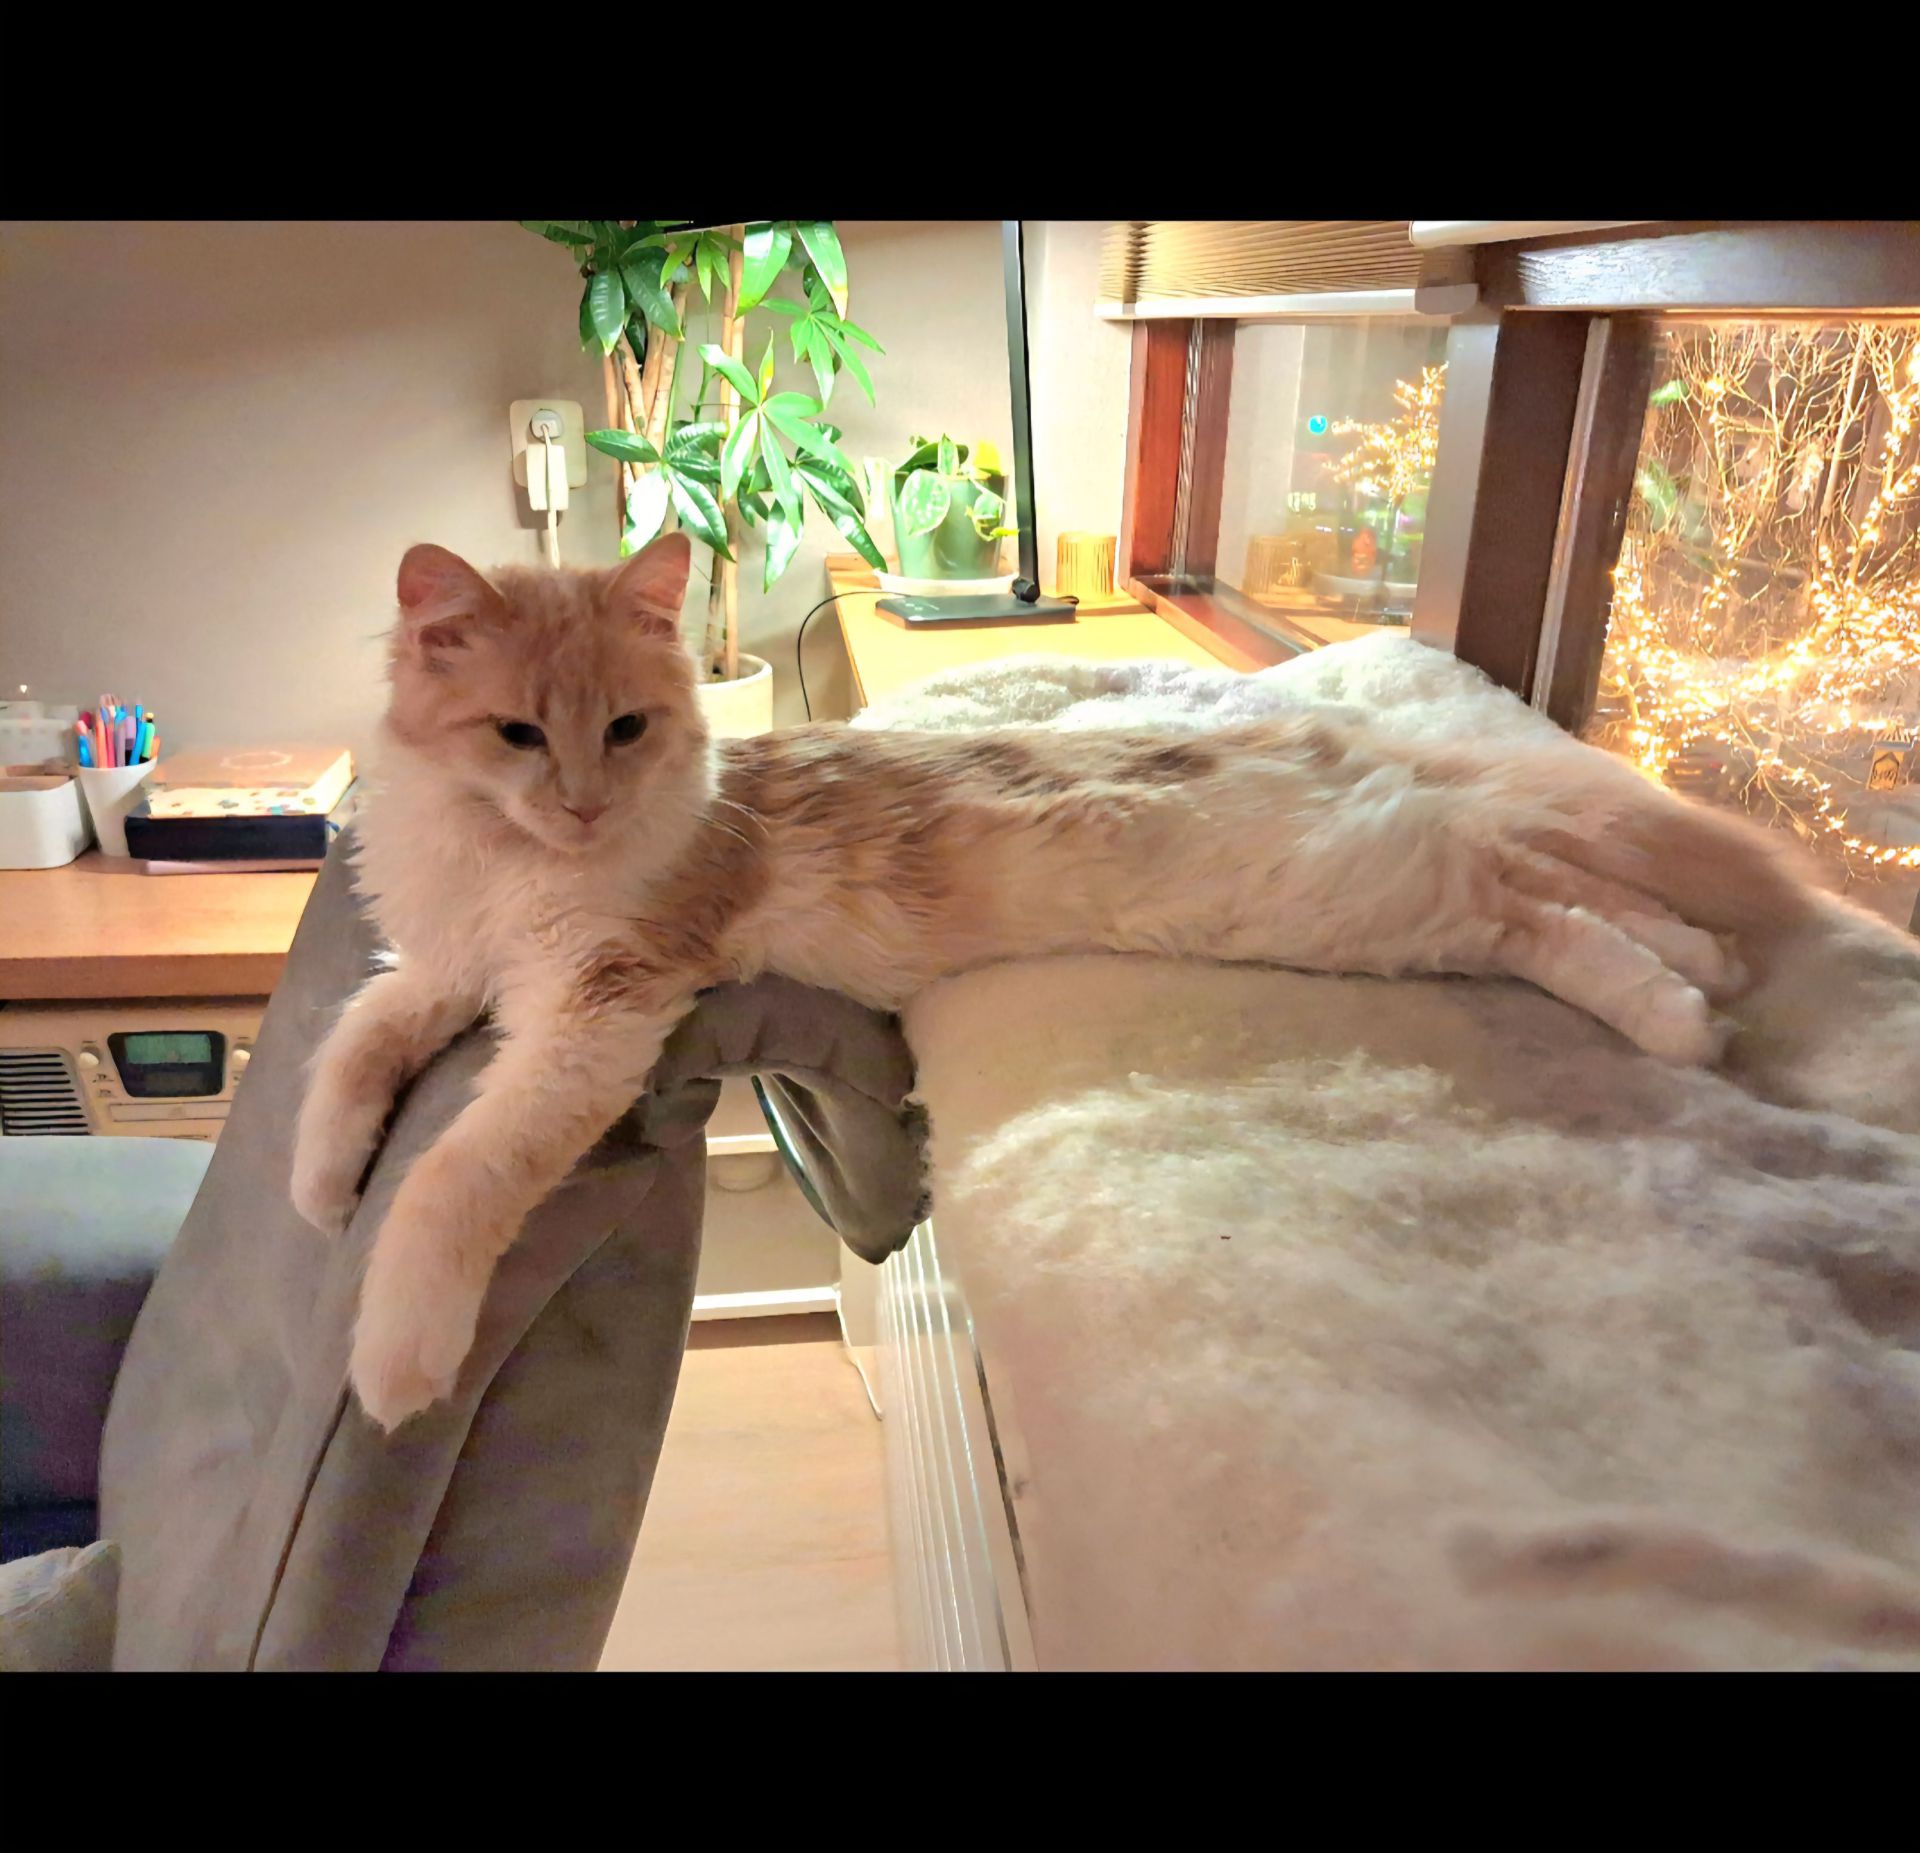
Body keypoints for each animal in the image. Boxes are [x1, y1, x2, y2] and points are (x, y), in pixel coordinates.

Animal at [294, 531, 1824, 1431]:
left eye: (624, 728)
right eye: (515, 734)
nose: (583, 805)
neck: (509, 869)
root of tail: (1329, 739)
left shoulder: (596, 1008)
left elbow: (457, 1175)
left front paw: (396, 1358)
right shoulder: (453, 965)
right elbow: (349, 1045)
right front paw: (317, 1187)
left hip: (1368, 896)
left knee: (1542, 905)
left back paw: (1685, 1015)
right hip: (1397, 883)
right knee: (1566, 885)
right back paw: (1707, 977)